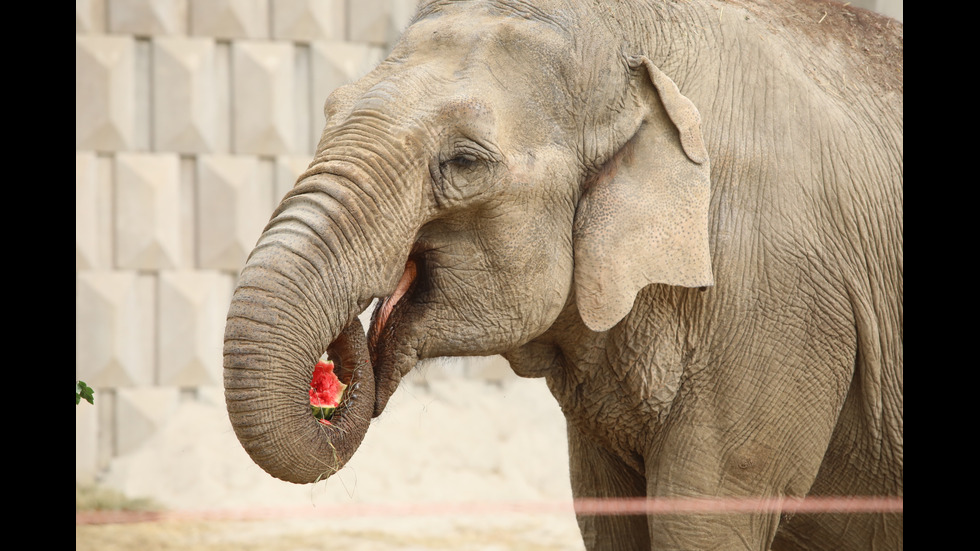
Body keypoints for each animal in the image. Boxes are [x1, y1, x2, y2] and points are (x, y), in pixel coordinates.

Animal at [224, 1, 904, 548]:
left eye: (464, 161)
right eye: (330, 109)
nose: (335, 372)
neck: (632, 46)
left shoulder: (775, 305)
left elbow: (704, 518)